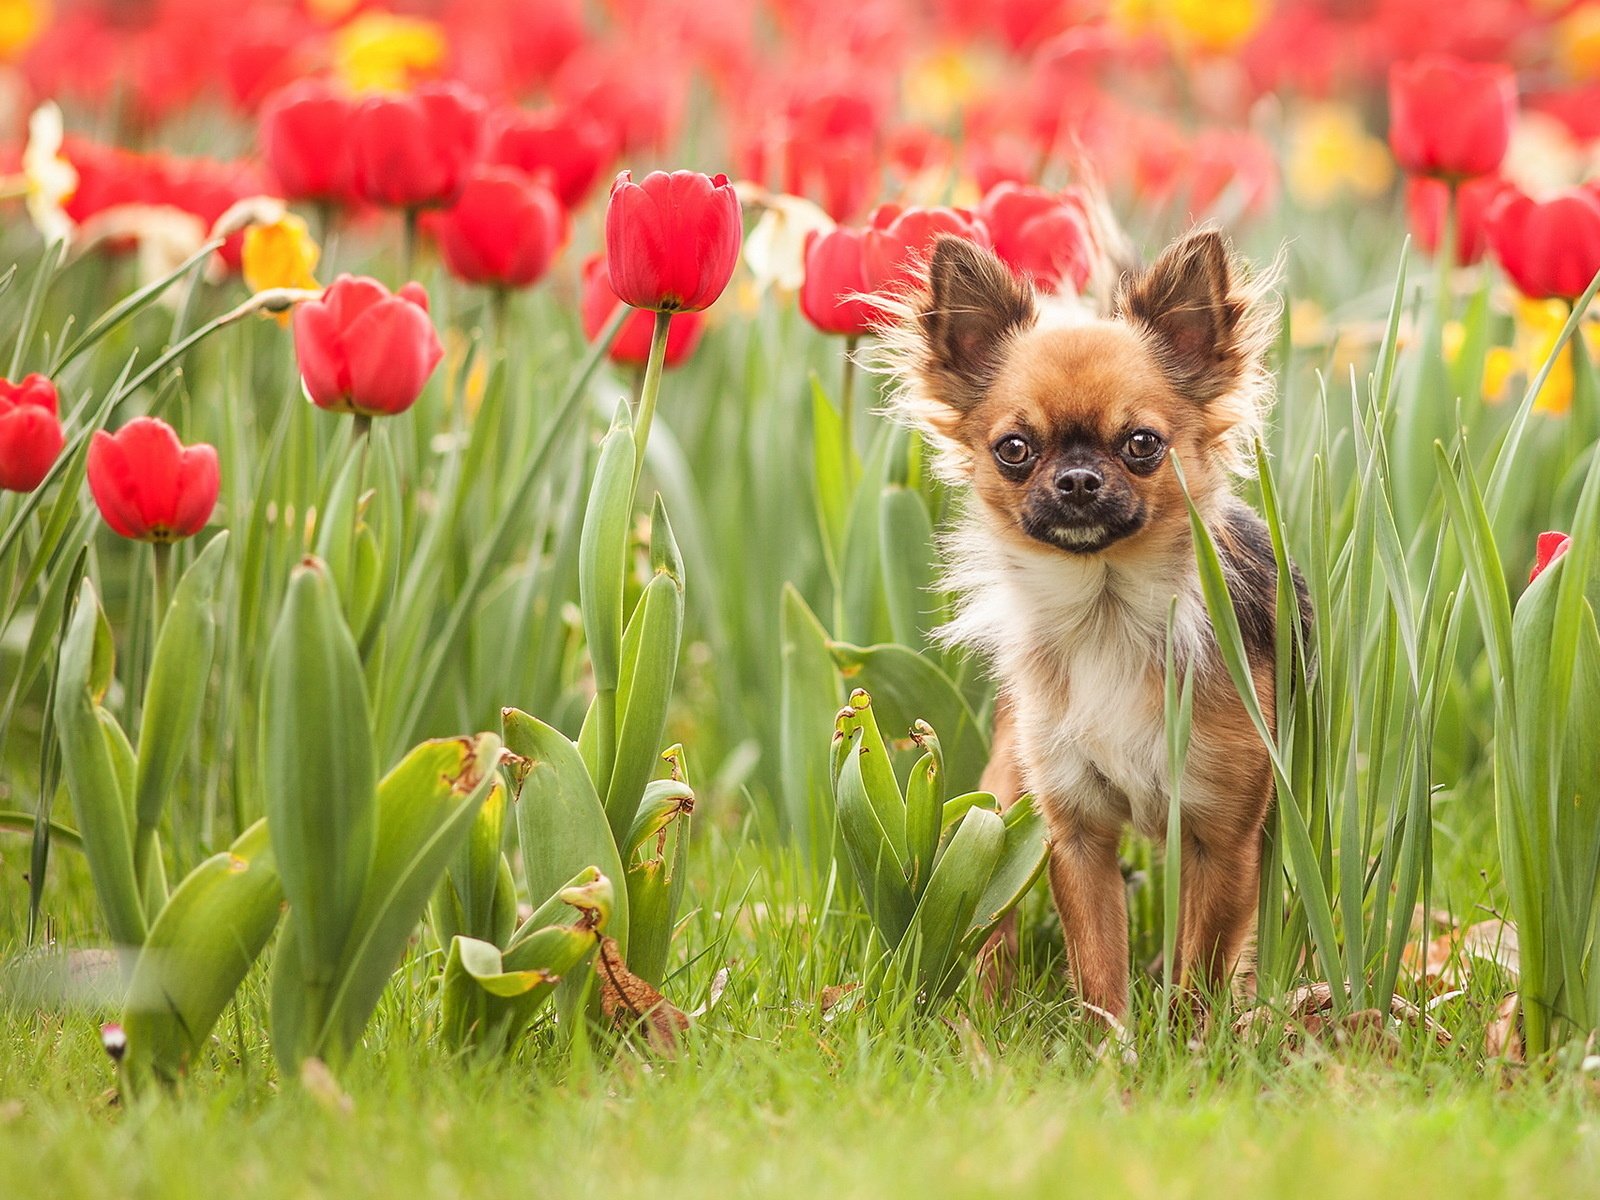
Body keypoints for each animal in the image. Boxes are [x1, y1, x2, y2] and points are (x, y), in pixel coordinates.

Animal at [883, 227, 1305, 1024]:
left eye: (1142, 444)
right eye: (1014, 449)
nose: (1077, 479)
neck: (1107, 611)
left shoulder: (1223, 836)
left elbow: (1200, 963)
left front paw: (1187, 1038)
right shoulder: (1074, 830)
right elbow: (1099, 959)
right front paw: (1111, 1038)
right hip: (1005, 798)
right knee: (992, 918)